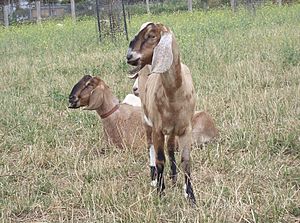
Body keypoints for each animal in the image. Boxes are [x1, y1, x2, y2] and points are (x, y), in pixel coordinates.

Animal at [125, 22, 198, 202]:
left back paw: (173, 177)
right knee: (150, 146)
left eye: (151, 36)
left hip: (171, 130)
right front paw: (160, 191)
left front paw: (190, 195)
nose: (129, 56)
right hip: (146, 120)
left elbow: (186, 161)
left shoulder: (185, 129)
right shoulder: (157, 128)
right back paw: (154, 179)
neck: (174, 94)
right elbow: (159, 160)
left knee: (170, 147)